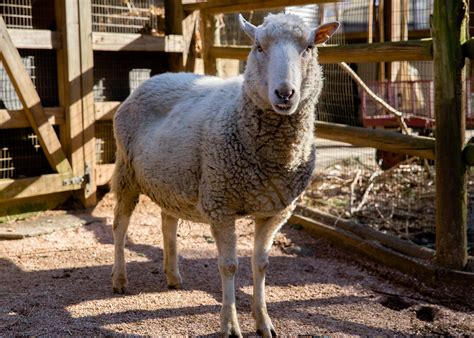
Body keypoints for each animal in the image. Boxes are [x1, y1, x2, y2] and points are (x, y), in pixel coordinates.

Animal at [112, 12, 338, 336]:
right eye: (258, 47)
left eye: (309, 47)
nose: (284, 93)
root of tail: (154, 78)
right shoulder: (221, 205)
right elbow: (229, 266)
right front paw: (230, 324)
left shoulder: (275, 210)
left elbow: (261, 264)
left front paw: (263, 320)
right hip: (126, 171)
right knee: (120, 225)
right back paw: (119, 279)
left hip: (173, 178)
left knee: (168, 222)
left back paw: (173, 276)